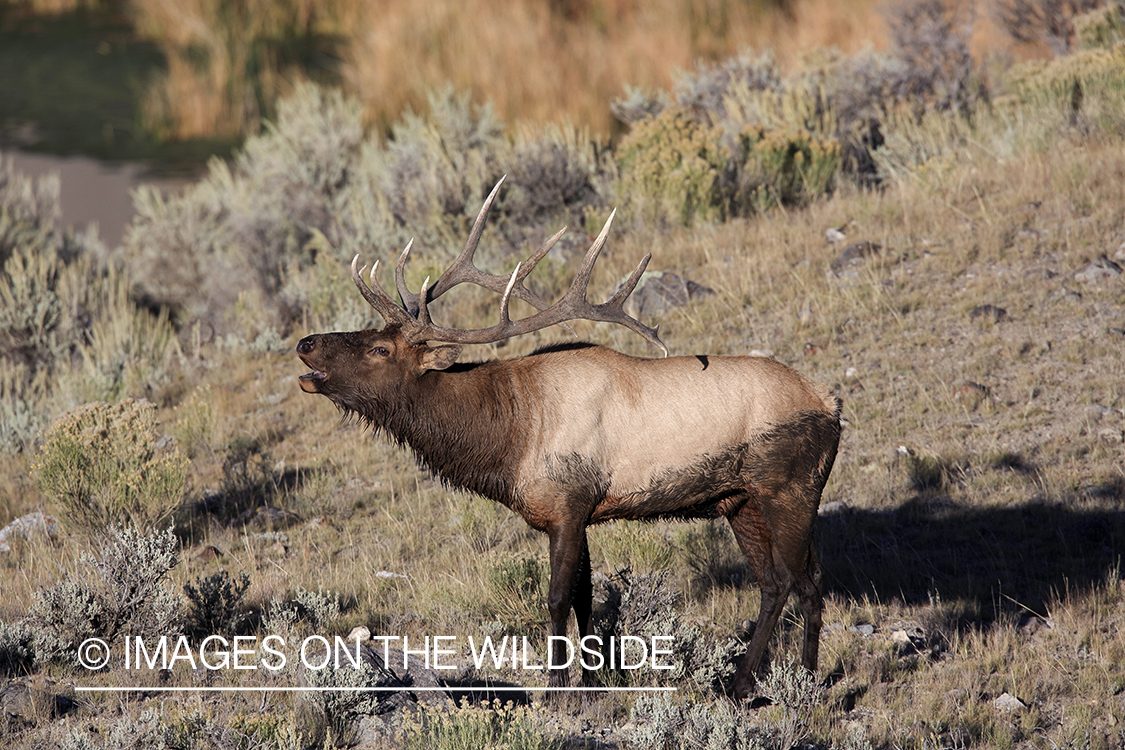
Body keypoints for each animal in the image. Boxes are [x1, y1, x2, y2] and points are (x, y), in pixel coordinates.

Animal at [295, 178, 842, 700]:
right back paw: (781, 678)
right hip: (741, 501)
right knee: (786, 581)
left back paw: (771, 682)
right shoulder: (578, 513)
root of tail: (833, 406)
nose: (305, 343)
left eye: (380, 348)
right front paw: (596, 679)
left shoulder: (568, 504)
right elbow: (584, 597)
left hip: (788, 488)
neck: (509, 439)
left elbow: (558, 598)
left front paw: (557, 688)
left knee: (796, 579)